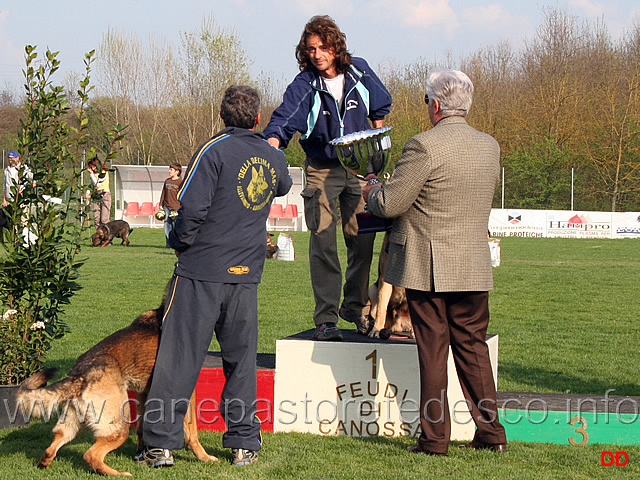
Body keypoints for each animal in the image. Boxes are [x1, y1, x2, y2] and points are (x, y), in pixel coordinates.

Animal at [16, 294, 218, 474]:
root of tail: (80, 373)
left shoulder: (144, 393)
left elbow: (143, 427)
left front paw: (143, 454)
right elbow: (192, 431)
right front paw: (203, 457)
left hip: (73, 423)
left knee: (53, 446)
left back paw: (44, 464)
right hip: (119, 425)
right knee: (91, 455)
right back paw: (118, 474)